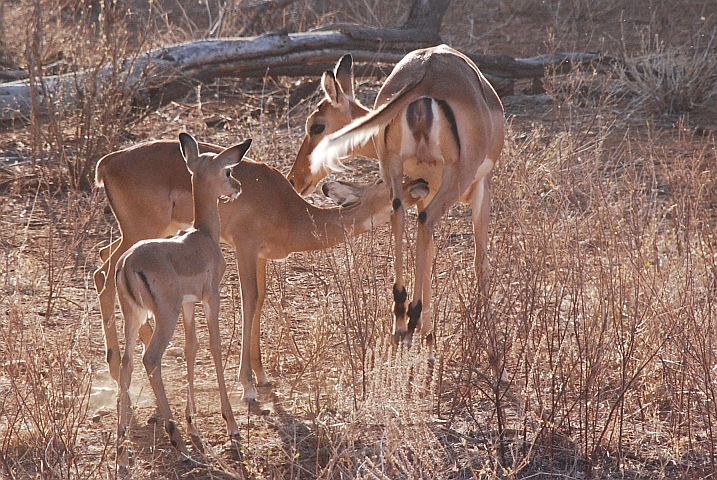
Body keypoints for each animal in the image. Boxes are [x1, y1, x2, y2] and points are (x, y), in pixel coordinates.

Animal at [114, 132, 249, 464]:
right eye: (228, 171)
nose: (238, 187)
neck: (204, 235)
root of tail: (127, 263)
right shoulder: (211, 297)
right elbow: (214, 347)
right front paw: (231, 425)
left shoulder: (189, 303)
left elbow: (191, 348)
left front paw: (193, 423)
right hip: (165, 315)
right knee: (150, 358)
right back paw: (175, 437)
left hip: (134, 315)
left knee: (127, 362)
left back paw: (121, 440)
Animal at [286, 45, 504, 362]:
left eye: (316, 126)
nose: (294, 179)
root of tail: (427, 74)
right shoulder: (479, 188)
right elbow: (480, 261)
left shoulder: (424, 189)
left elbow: (429, 252)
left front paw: (429, 340)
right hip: (455, 178)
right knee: (425, 223)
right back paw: (410, 318)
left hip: (394, 171)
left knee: (399, 214)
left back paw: (401, 320)